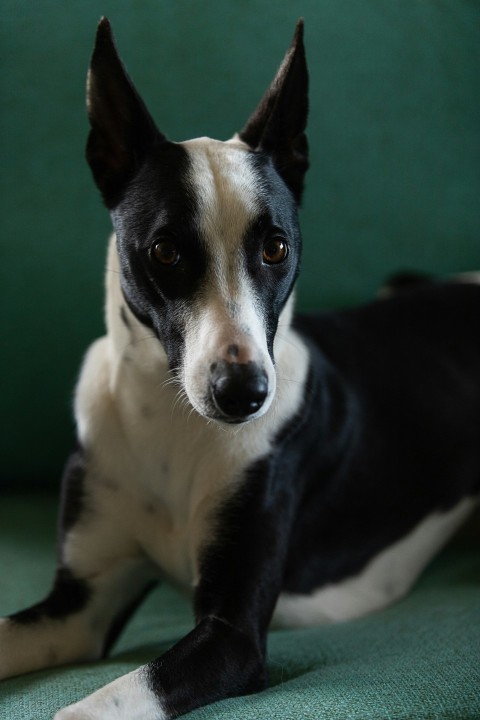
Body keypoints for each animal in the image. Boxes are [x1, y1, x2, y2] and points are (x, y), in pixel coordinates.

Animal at [0, 16, 480, 720]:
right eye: (165, 251)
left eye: (276, 247)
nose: (243, 393)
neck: (170, 420)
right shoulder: (79, 604)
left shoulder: (232, 634)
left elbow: (101, 701)